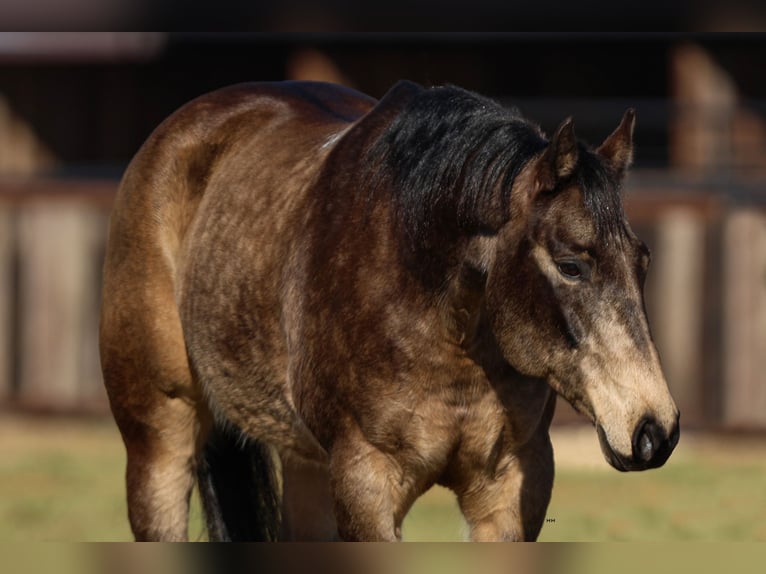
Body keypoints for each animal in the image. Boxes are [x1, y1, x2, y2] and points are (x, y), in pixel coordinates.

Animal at [100, 81, 684, 544]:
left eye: (643, 260)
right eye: (570, 266)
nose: (654, 430)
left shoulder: (513, 488)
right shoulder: (367, 483)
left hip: (307, 466)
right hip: (159, 445)